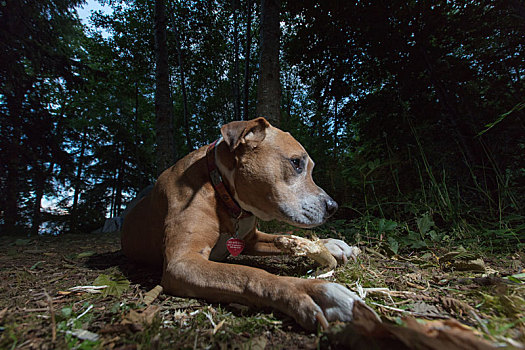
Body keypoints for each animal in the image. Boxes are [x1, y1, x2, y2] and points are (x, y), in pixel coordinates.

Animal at [121, 117, 374, 330]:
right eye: (296, 163)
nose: (333, 206)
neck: (221, 189)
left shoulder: (251, 239)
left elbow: (283, 239)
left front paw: (330, 244)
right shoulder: (182, 262)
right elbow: (251, 275)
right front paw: (310, 291)